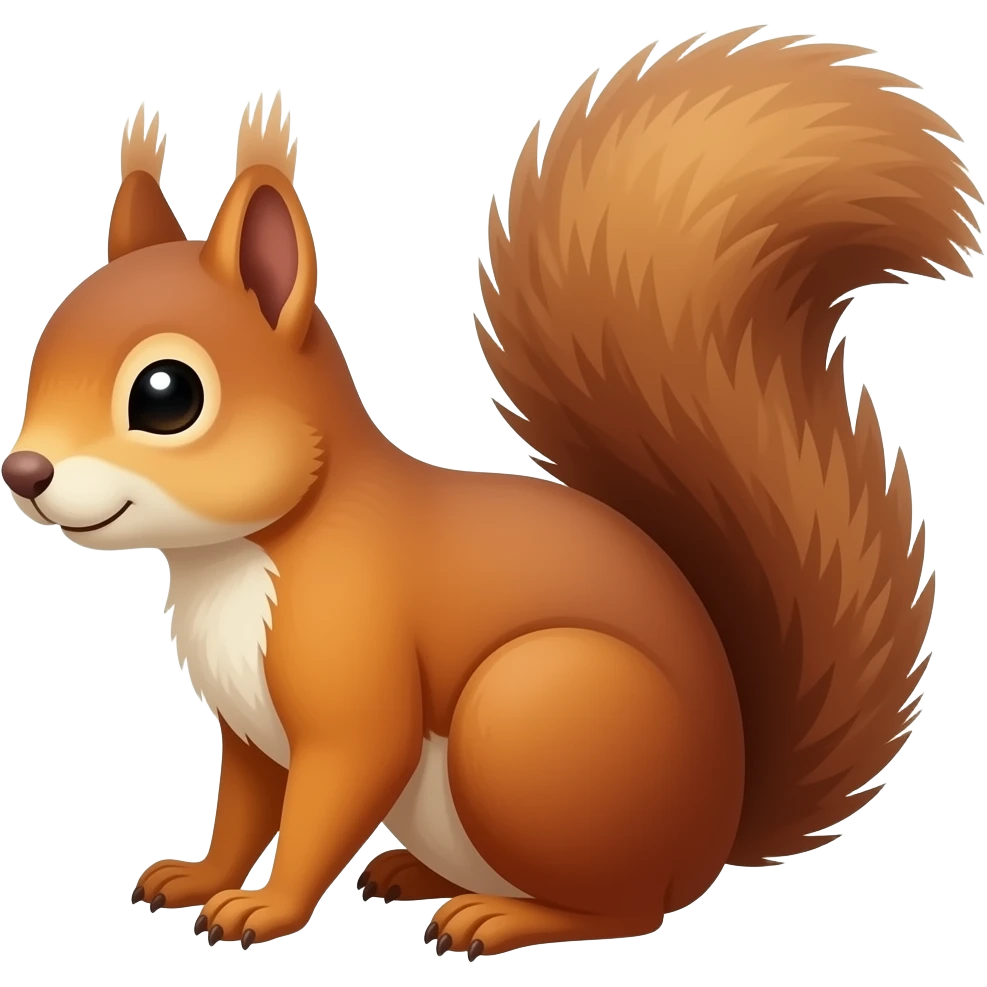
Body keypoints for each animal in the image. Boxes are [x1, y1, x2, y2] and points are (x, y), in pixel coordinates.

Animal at [3, 28, 977, 958]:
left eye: (167, 395)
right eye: (41, 351)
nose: (25, 473)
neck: (237, 557)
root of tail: (714, 831)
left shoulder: (355, 684)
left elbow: (328, 799)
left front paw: (265, 907)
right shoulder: (246, 729)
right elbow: (243, 809)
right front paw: (200, 876)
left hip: (530, 717)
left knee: (624, 908)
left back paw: (498, 918)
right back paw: (416, 873)